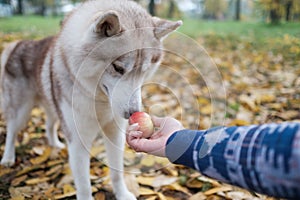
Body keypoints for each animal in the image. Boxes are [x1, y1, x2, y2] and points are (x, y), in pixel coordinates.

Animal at [0, 0, 180, 200]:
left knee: (49, 124)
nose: (133, 113)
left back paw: (55, 144)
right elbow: (84, 184)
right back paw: (8, 157)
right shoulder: (79, 141)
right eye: (118, 68)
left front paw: (122, 193)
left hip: (52, 106)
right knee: (12, 131)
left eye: (145, 71)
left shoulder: (114, 134)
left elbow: (117, 172)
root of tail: (17, 44)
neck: (99, 101)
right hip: (21, 112)